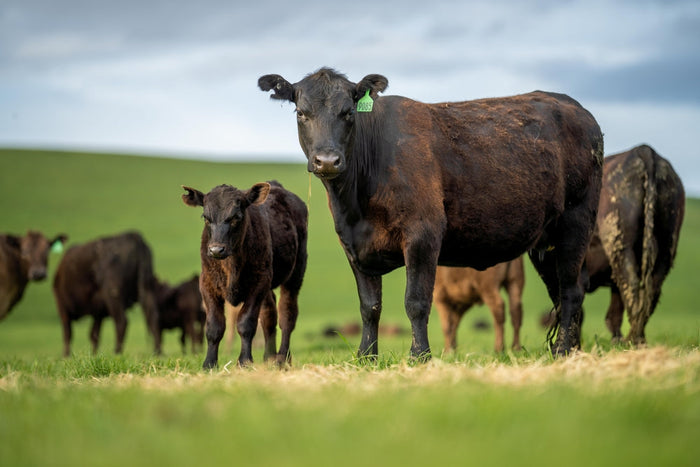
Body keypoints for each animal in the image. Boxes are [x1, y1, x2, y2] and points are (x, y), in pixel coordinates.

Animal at [182, 181, 308, 369]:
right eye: (206, 217)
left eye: (236, 217)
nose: (216, 249)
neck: (231, 266)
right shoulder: (207, 285)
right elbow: (214, 326)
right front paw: (209, 363)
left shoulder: (257, 285)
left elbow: (246, 323)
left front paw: (244, 361)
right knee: (269, 315)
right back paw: (269, 357)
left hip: (295, 274)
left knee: (287, 315)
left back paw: (282, 358)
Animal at [259, 67, 603, 358]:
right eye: (301, 113)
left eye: (348, 113)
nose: (327, 160)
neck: (357, 204)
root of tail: (576, 108)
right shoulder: (353, 245)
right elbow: (369, 306)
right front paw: (366, 357)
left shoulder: (422, 235)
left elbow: (416, 302)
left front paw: (419, 356)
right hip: (545, 241)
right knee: (559, 292)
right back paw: (568, 349)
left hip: (576, 222)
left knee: (571, 290)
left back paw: (564, 350)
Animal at [583, 144, 685, 344]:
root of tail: (644, 151)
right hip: (667, 246)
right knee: (651, 289)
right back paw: (637, 338)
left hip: (621, 246)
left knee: (630, 285)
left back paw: (632, 339)